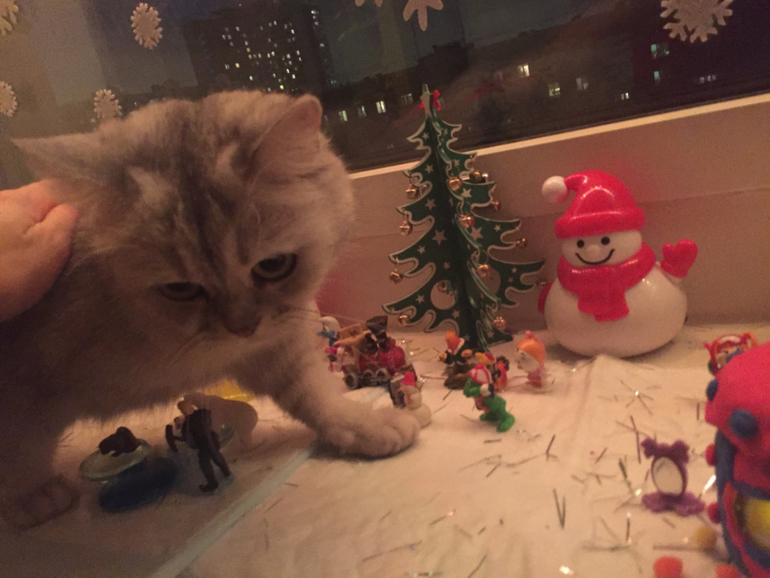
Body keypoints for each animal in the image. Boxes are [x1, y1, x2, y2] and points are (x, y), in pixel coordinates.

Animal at [0, 90, 420, 529]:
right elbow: (19, 446)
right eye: (180, 289)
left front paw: (359, 424)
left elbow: (312, 392)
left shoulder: (275, 344)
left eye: (273, 265)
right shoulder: (19, 385)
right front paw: (30, 495)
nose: (243, 328)